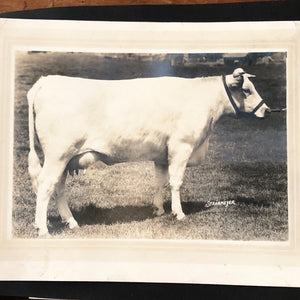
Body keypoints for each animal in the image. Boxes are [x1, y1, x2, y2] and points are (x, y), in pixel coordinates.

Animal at [28, 68, 270, 237]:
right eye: (246, 90)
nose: (267, 110)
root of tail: (46, 81)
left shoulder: (162, 154)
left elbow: (160, 181)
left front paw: (159, 210)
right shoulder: (181, 147)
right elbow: (176, 182)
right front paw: (178, 213)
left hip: (64, 159)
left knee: (58, 187)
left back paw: (70, 222)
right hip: (57, 155)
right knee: (46, 185)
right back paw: (42, 229)